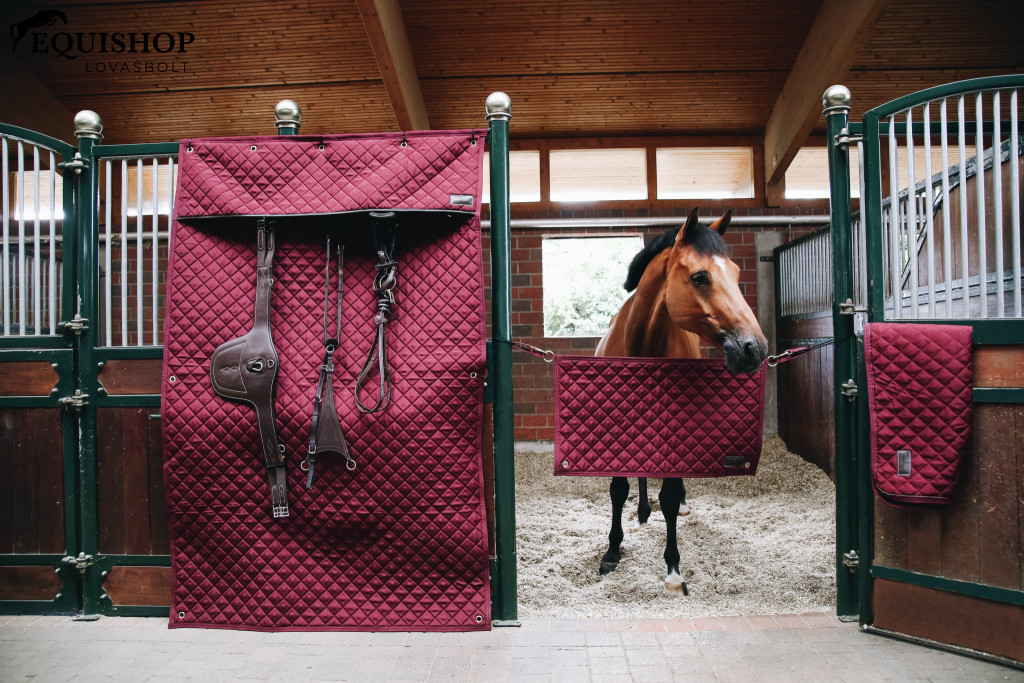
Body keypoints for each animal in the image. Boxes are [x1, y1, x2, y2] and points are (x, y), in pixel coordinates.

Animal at [594, 207, 768, 593]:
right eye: (700, 277)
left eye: (736, 274)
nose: (755, 349)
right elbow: (618, 488)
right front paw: (612, 552)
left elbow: (670, 497)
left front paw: (673, 567)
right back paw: (642, 514)